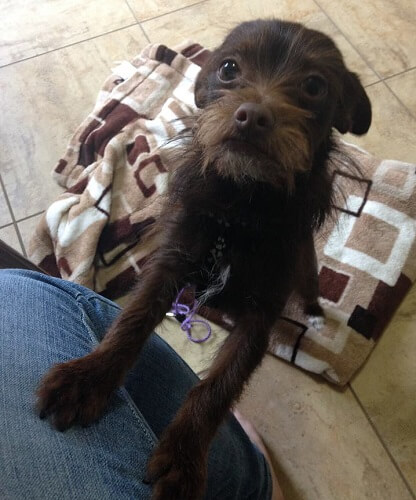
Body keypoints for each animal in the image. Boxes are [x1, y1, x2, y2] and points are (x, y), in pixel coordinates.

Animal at [37, 19, 372, 500]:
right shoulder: (169, 267)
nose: (252, 116)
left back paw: (313, 312)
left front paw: (183, 460)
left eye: (314, 86)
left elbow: (217, 388)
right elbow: (129, 325)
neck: (240, 210)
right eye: (229, 68)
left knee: (309, 288)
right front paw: (88, 380)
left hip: (305, 265)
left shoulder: (259, 317)